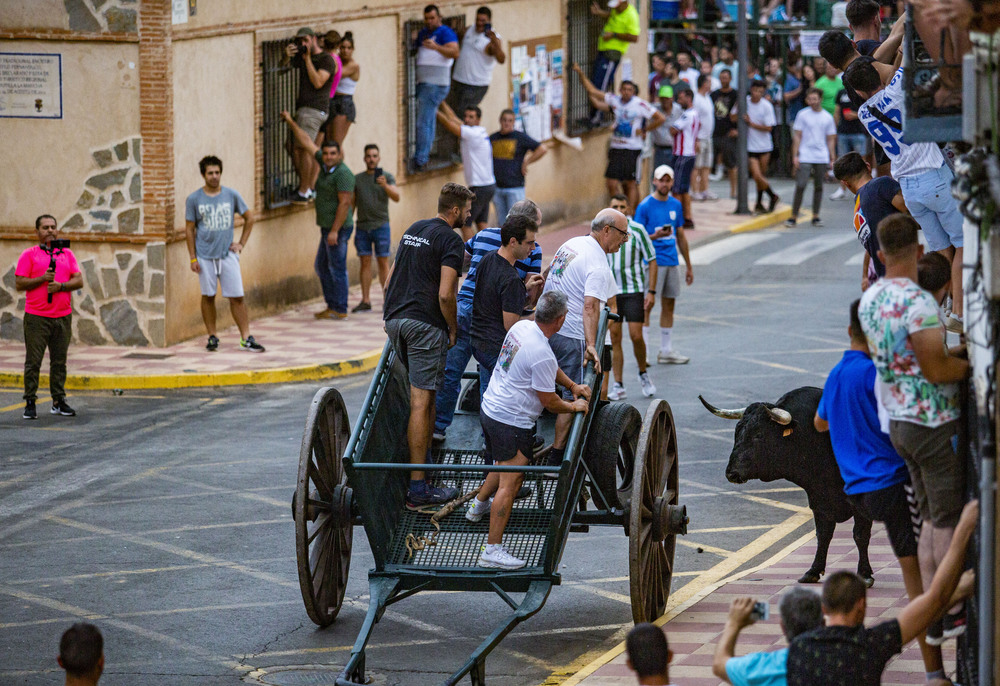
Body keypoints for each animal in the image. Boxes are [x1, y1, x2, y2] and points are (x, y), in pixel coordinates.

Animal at [700, 388, 872, 584]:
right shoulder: (818, 499)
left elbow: (860, 534)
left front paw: (865, 574)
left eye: (759, 435)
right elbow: (823, 534)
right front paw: (813, 570)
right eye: (737, 432)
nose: (731, 473)